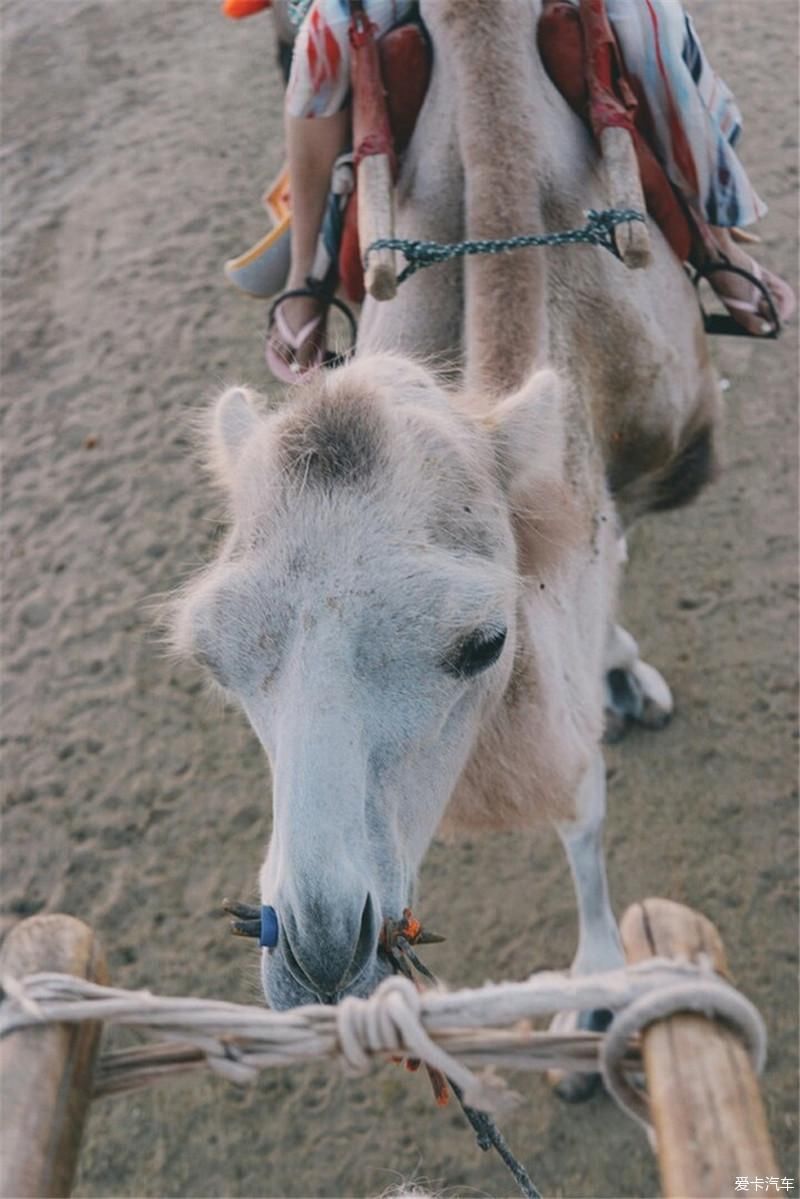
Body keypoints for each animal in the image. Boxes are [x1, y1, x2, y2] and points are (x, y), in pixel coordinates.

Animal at [169, 0, 719, 1098]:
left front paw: (595, 991)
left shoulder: (633, 460)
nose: (319, 951)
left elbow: (579, 791)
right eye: (213, 661)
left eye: (480, 643)